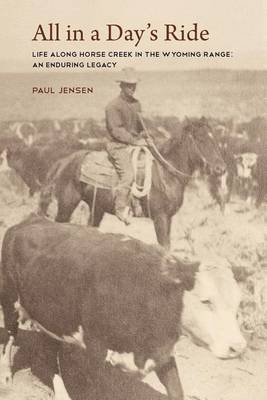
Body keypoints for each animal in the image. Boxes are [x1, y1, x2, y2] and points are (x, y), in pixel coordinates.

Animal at [38, 117, 226, 248]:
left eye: (214, 139)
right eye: (201, 139)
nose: (221, 169)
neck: (165, 173)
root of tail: (63, 161)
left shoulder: (169, 218)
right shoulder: (160, 218)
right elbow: (164, 247)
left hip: (96, 208)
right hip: (66, 205)